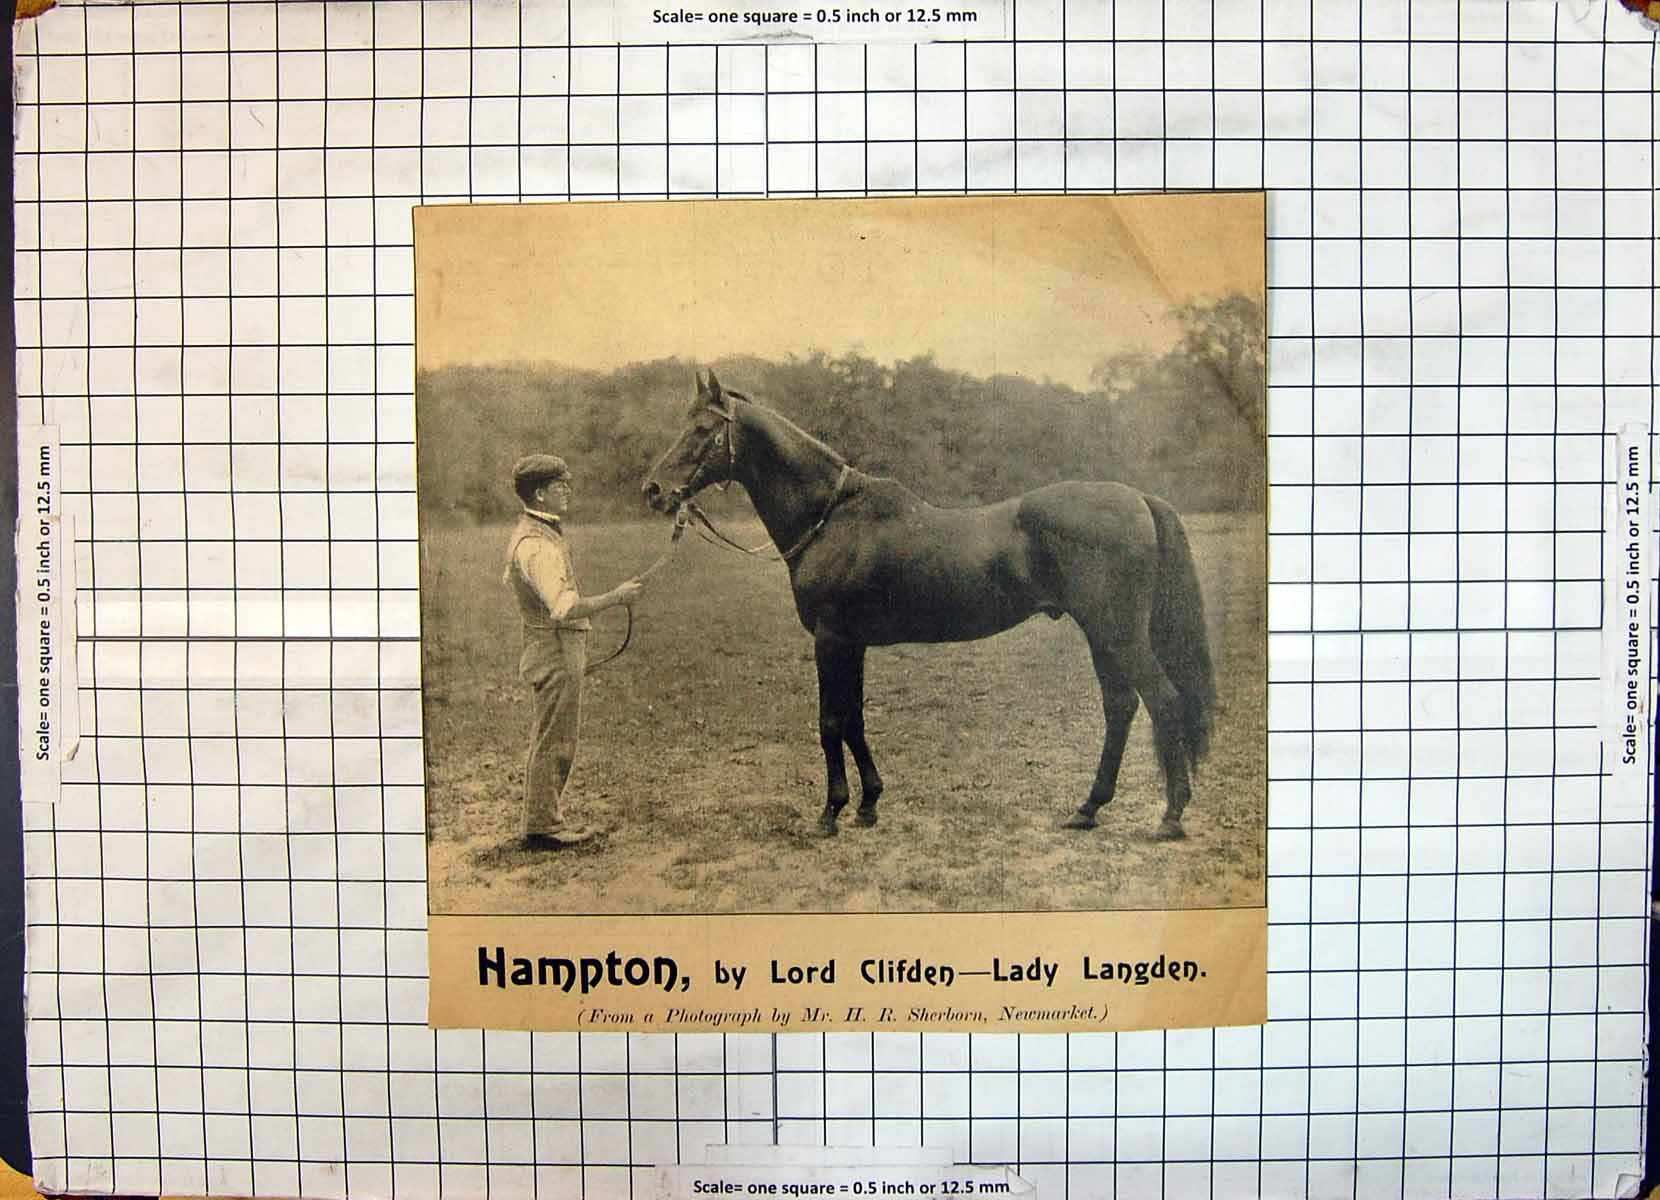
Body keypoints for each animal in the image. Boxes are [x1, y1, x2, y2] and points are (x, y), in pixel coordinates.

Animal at [643, 371, 1217, 841]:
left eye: (702, 429)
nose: (653, 490)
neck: (830, 517)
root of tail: (1138, 499)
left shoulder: (830, 639)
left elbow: (830, 722)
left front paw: (831, 812)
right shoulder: (852, 643)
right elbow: (854, 719)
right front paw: (868, 804)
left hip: (1119, 634)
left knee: (1163, 701)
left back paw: (1169, 817)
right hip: (1102, 635)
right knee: (1120, 707)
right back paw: (1088, 808)